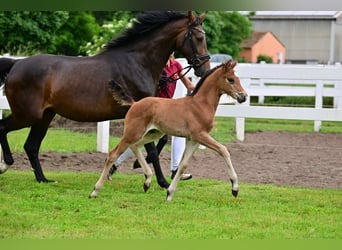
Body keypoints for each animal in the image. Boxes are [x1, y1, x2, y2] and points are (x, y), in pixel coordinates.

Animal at [0, 11, 210, 188]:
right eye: (199, 38)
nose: (204, 69)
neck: (138, 62)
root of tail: (16, 64)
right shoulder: (141, 113)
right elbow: (151, 150)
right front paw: (162, 182)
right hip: (28, 115)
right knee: (4, 128)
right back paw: (6, 164)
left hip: (45, 116)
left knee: (31, 145)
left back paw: (43, 179)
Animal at [89, 60, 247, 201]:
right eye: (231, 79)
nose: (244, 96)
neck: (200, 104)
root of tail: (134, 104)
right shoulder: (200, 135)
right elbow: (223, 150)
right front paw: (235, 188)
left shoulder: (193, 139)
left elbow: (183, 165)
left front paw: (169, 194)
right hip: (133, 133)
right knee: (113, 154)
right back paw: (95, 191)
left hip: (151, 133)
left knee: (134, 146)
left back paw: (147, 181)